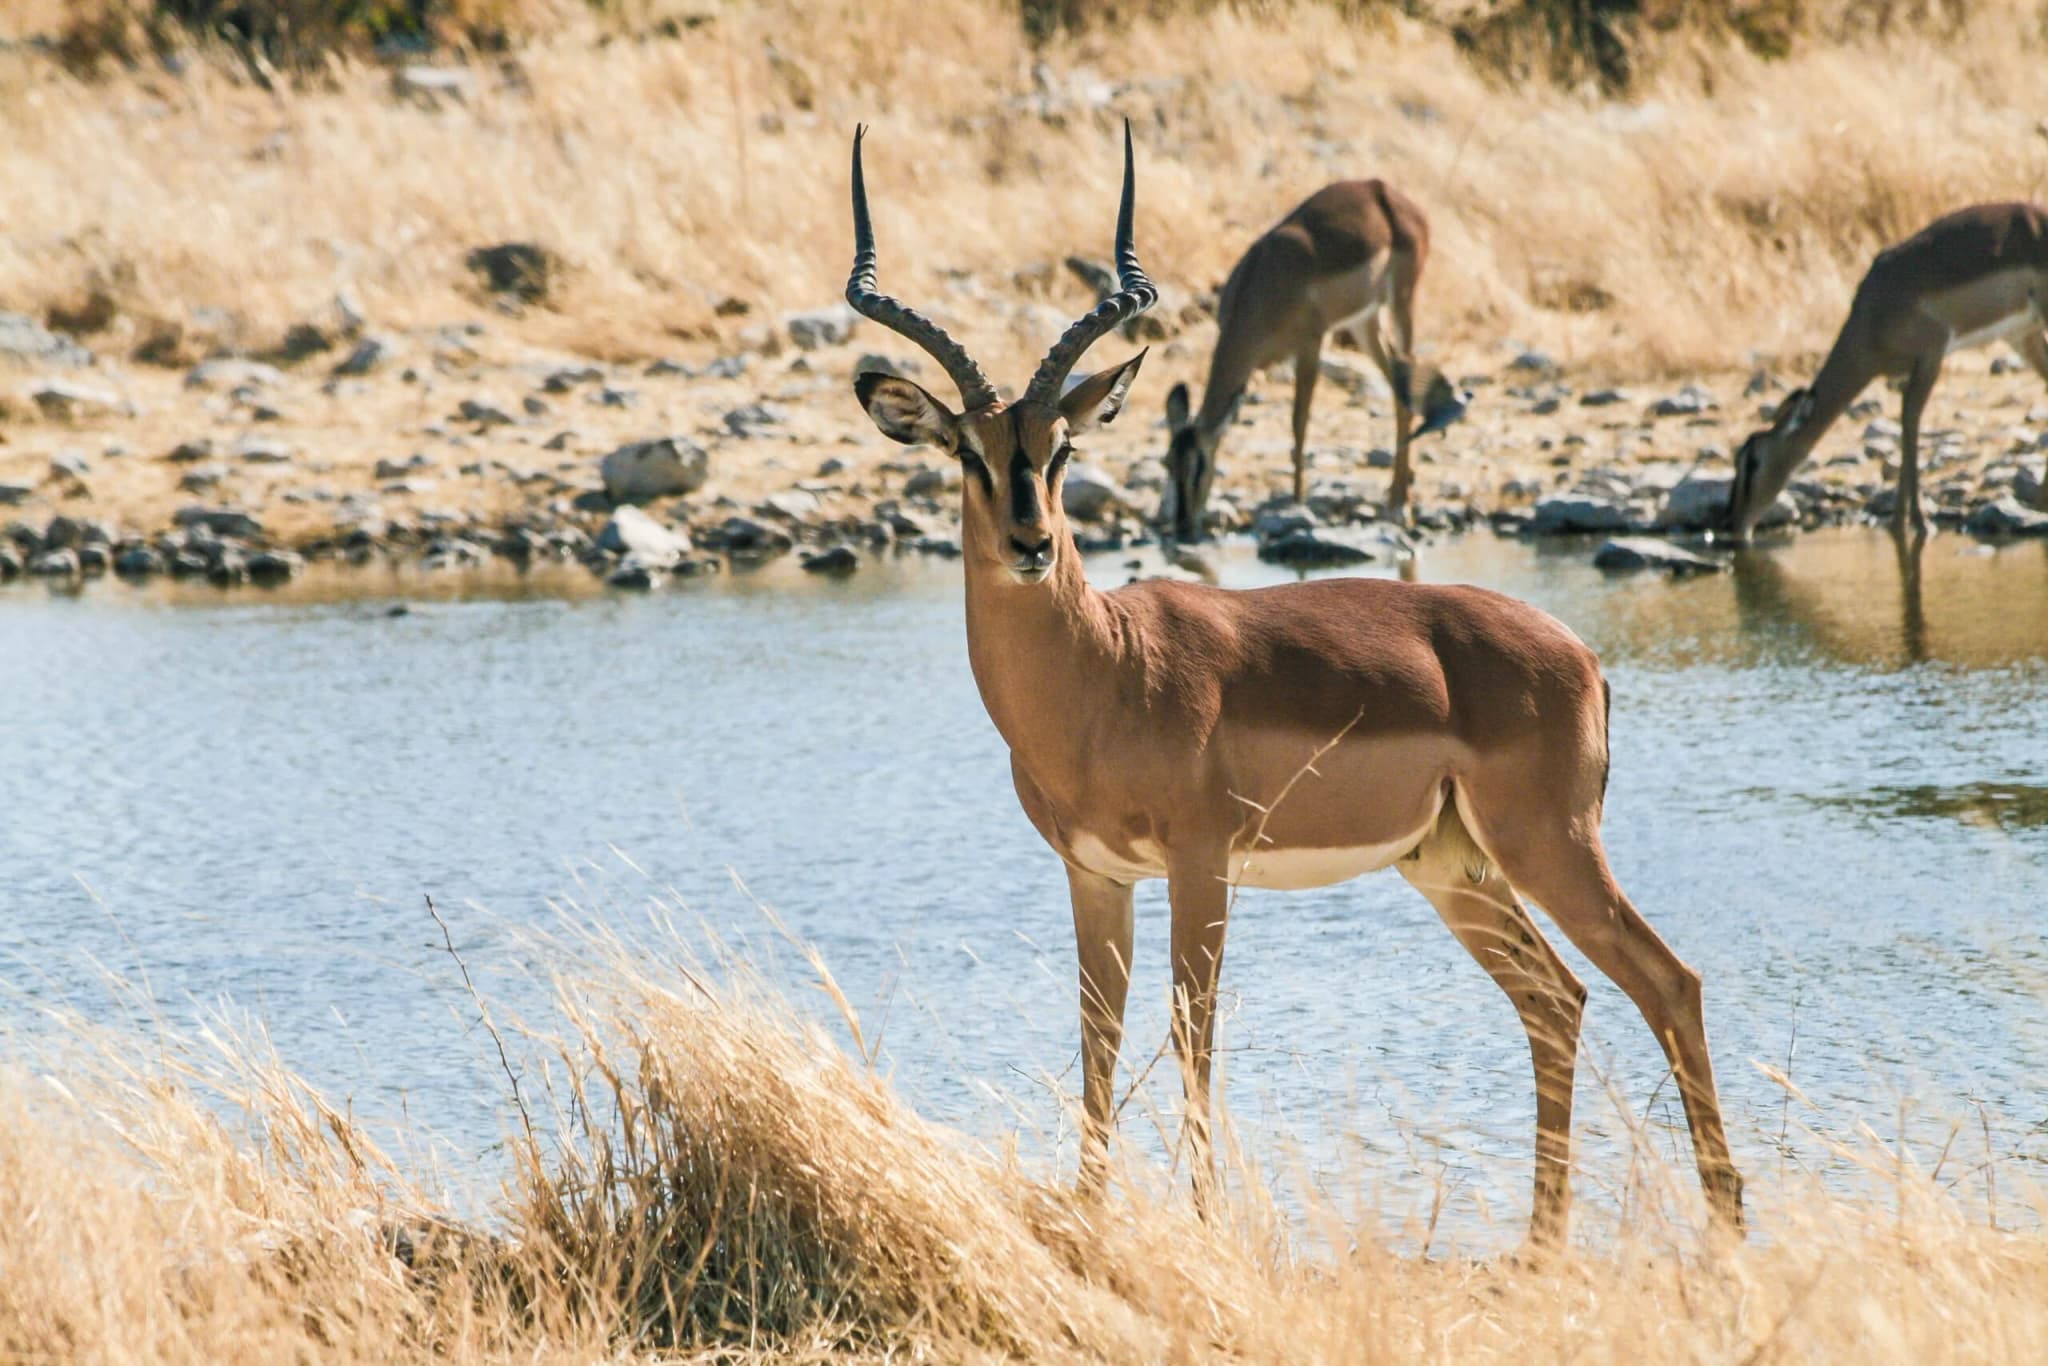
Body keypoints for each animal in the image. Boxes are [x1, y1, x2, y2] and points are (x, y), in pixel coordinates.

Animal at [1162, 178, 1469, 541]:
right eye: (1168, 462)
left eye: (1200, 466)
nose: (1183, 528)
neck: (1264, 285)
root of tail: (1380, 188)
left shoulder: (1310, 344)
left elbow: (1299, 422)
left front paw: (1296, 500)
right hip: (1364, 323)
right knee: (1398, 389)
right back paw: (1398, 494)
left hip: (1401, 305)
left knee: (1404, 387)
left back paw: (1399, 506)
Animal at [1728, 201, 2048, 542]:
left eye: (1753, 462)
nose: (1734, 524)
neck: (1873, 314)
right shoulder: (1906, 374)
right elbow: (1904, 425)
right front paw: (1898, 523)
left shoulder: (1931, 355)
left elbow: (1911, 423)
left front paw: (1918, 522)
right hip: (2022, 336)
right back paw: (2038, 498)